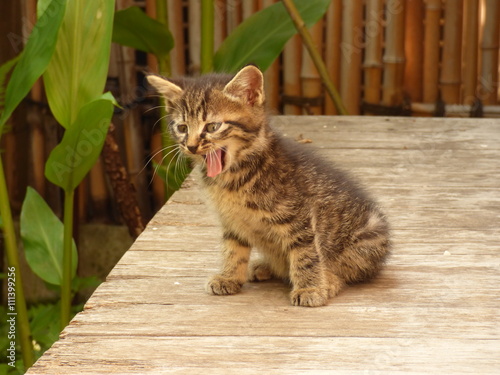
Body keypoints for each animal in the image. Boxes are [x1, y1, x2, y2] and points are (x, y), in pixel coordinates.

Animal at [148, 66, 390, 306]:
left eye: (212, 126)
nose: (190, 146)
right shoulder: (232, 220)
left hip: (365, 242)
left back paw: (328, 280)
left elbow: (306, 254)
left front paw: (310, 288)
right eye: (182, 127)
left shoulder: (299, 217)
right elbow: (232, 250)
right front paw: (229, 277)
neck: (234, 178)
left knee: (348, 271)